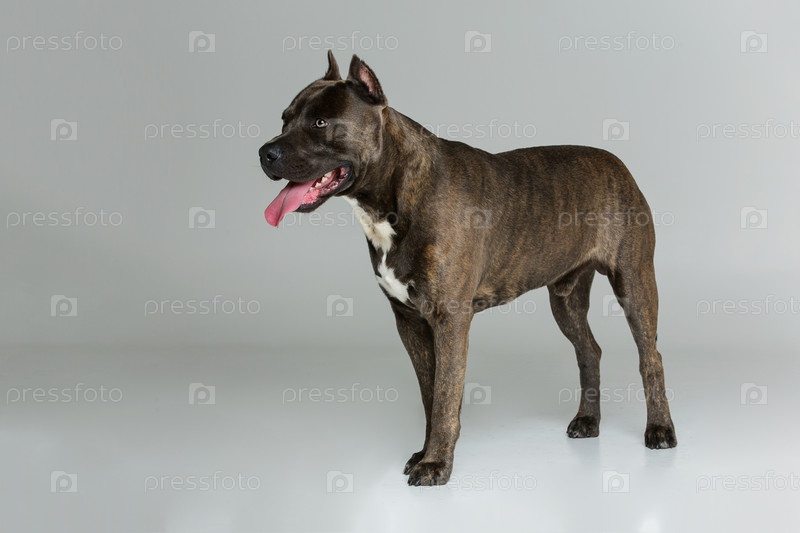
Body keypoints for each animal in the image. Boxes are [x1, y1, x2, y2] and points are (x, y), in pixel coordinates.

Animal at [259, 52, 677, 486]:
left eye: (320, 123)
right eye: (285, 119)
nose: (265, 153)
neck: (395, 191)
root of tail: (617, 163)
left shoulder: (450, 320)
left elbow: (445, 395)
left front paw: (436, 464)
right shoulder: (410, 321)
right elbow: (430, 394)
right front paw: (426, 452)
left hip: (634, 284)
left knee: (651, 358)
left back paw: (660, 429)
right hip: (565, 299)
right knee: (589, 351)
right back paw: (588, 420)